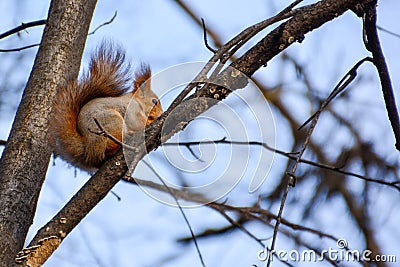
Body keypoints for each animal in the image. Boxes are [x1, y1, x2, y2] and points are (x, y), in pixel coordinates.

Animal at [52, 43, 162, 173]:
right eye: (154, 101)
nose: (161, 113)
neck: (136, 101)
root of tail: (90, 147)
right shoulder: (131, 110)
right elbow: (137, 122)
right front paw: (151, 121)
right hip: (112, 121)